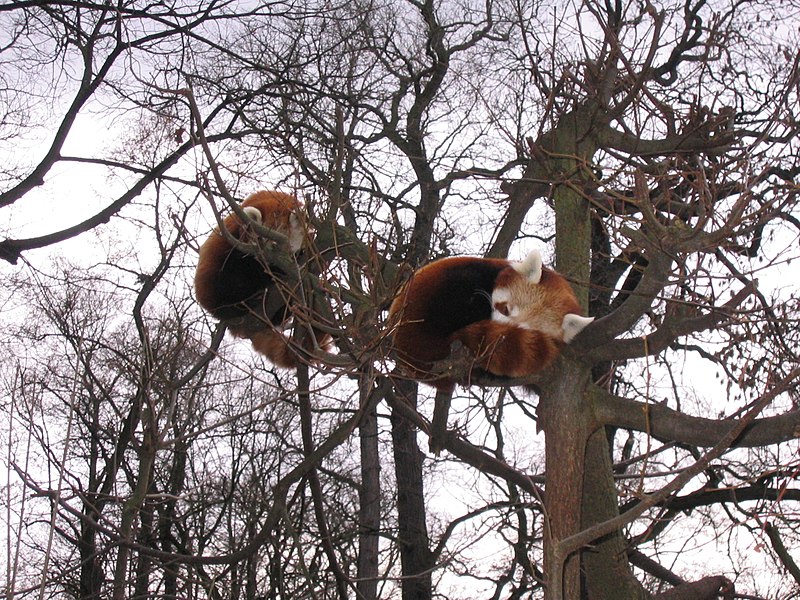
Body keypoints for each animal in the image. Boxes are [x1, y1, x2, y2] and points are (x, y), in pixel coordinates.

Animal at [195, 190, 324, 368]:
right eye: (264, 243)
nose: (271, 265)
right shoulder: (237, 240)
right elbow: (248, 266)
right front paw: (269, 275)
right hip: (211, 280)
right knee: (227, 284)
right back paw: (243, 303)